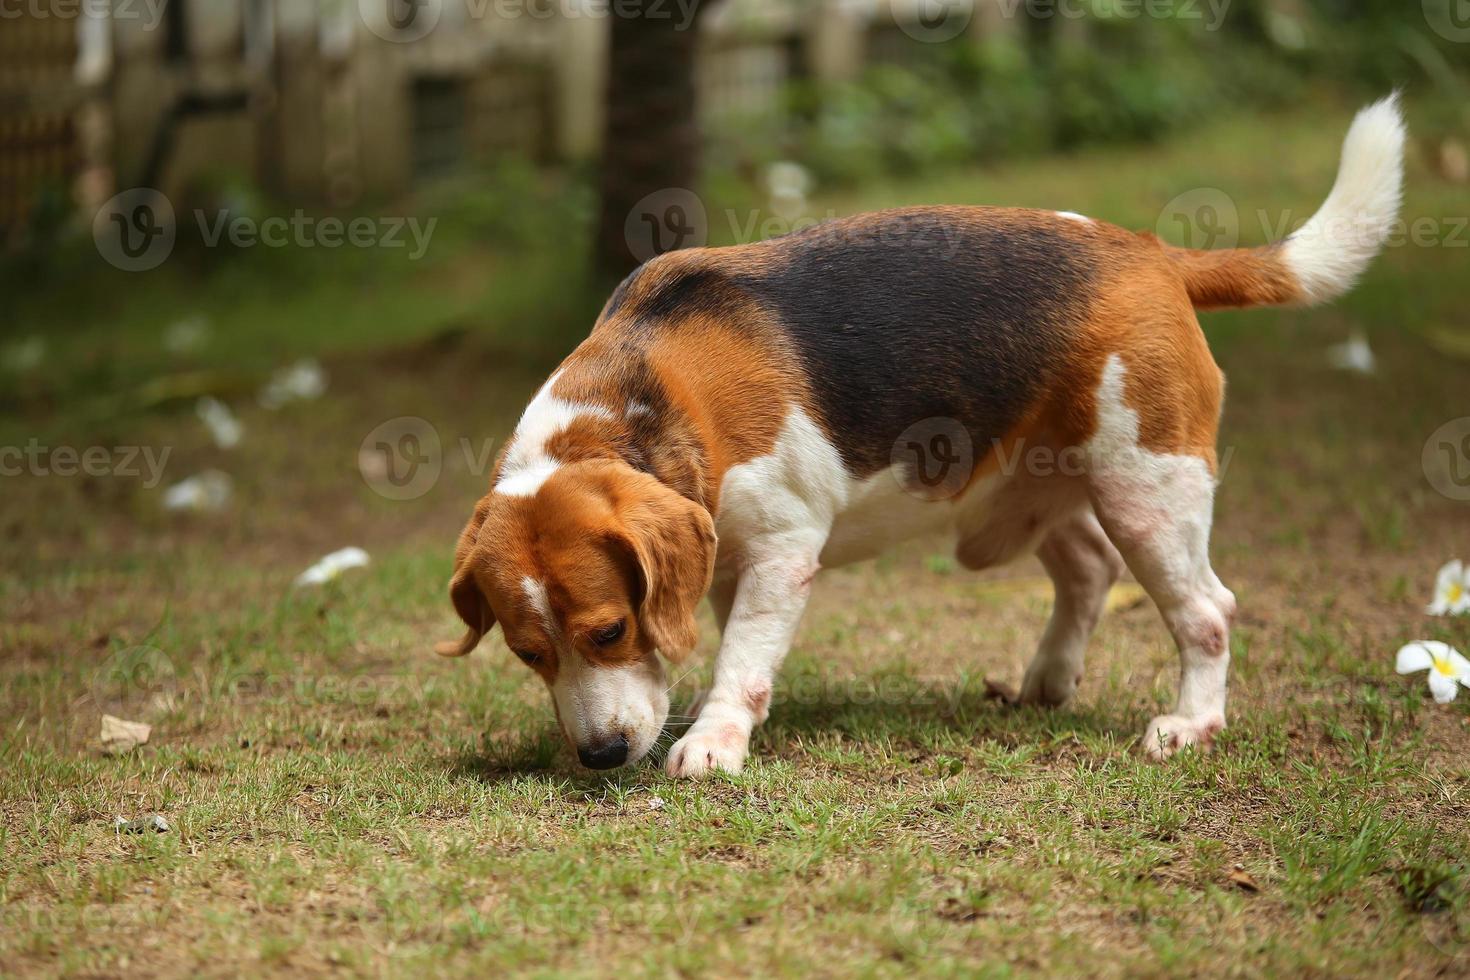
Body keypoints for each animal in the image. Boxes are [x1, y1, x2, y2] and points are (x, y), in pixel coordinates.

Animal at [435, 97, 1399, 775]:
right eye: (528, 654)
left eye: (607, 633)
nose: (598, 757)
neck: (634, 404)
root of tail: (1155, 254)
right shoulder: (726, 558)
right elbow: (730, 641)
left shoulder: (781, 549)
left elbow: (743, 656)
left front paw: (713, 742)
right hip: (1041, 482)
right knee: (1089, 568)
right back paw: (1049, 680)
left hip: (1148, 492)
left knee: (1207, 610)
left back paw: (1191, 722)